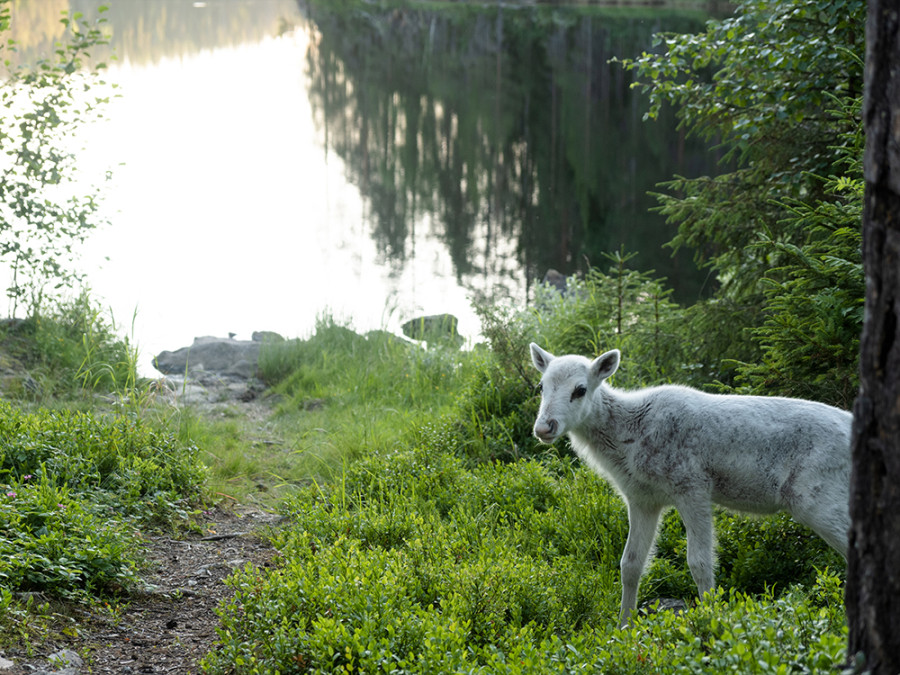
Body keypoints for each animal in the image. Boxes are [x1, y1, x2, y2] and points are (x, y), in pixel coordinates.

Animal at [532, 346, 856, 624]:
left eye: (580, 389)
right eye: (541, 386)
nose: (544, 427)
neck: (626, 443)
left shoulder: (692, 486)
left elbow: (700, 562)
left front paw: (711, 620)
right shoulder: (641, 499)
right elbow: (630, 564)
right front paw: (623, 627)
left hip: (815, 496)